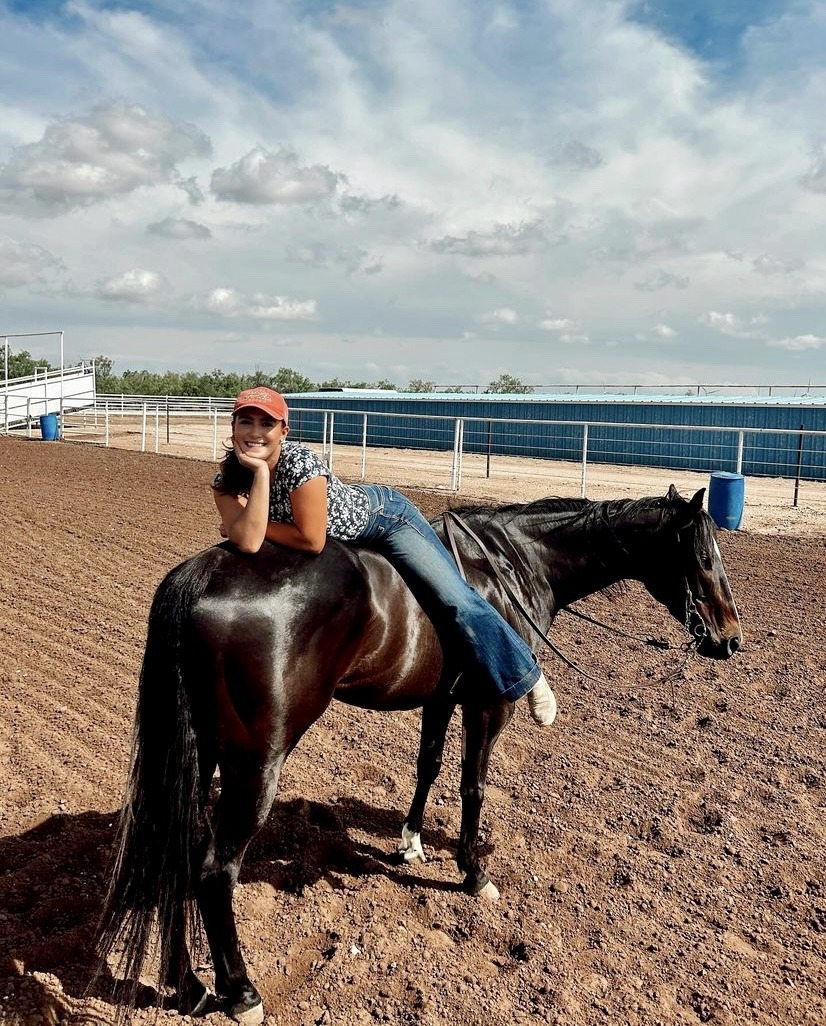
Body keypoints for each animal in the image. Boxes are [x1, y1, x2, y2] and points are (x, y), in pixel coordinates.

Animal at [97, 485, 741, 1024]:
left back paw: (187, 985)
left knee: (176, 851)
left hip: (202, 752)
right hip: (256, 762)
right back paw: (240, 992)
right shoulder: (486, 703)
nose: (732, 639)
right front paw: (474, 871)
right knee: (214, 870)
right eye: (704, 557)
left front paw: (410, 844)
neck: (516, 564)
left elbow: (428, 764)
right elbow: (472, 783)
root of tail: (204, 572)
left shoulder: (442, 697)